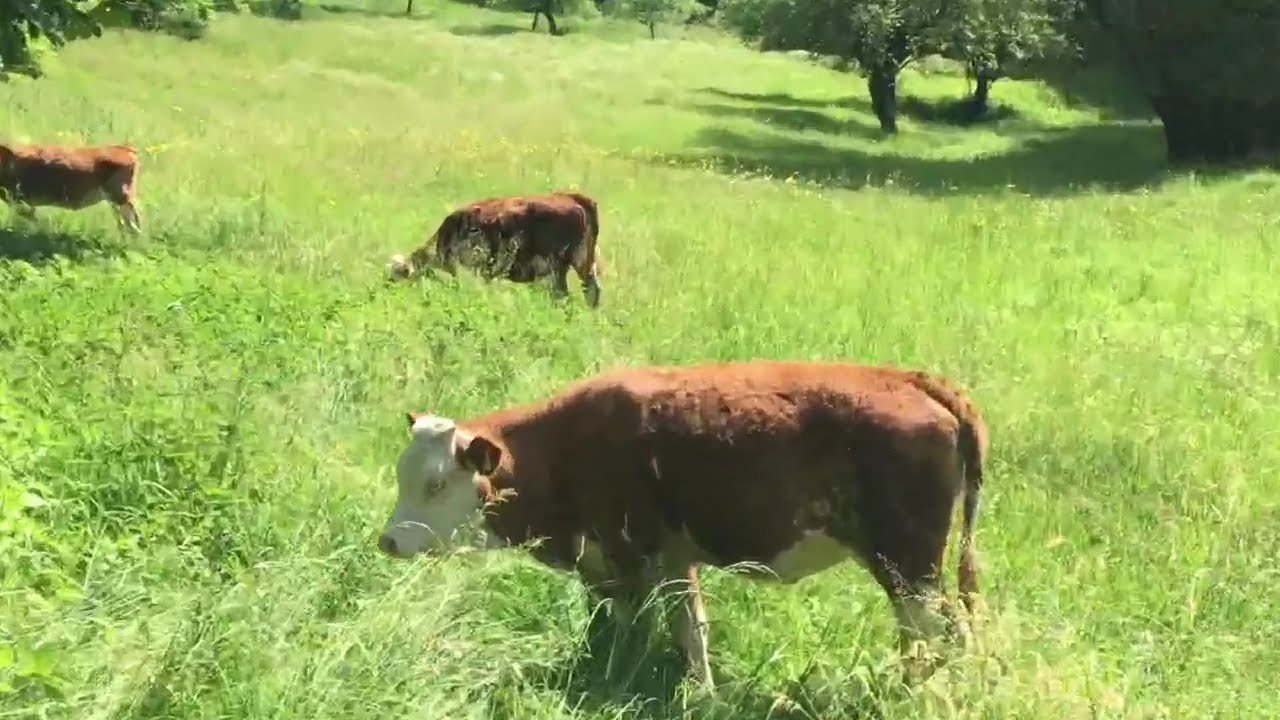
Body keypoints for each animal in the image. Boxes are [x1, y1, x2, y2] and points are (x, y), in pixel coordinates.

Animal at [0, 142, 143, 236]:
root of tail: (125, 148)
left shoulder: (17, 199)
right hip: (115, 201)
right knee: (126, 224)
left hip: (122, 197)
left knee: (134, 222)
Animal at [375, 359, 989, 688]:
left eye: (435, 484)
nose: (389, 540)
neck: (567, 445)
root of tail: (910, 380)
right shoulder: (670, 559)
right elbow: (688, 628)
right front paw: (701, 691)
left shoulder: (626, 558)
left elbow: (633, 629)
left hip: (910, 568)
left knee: (940, 632)